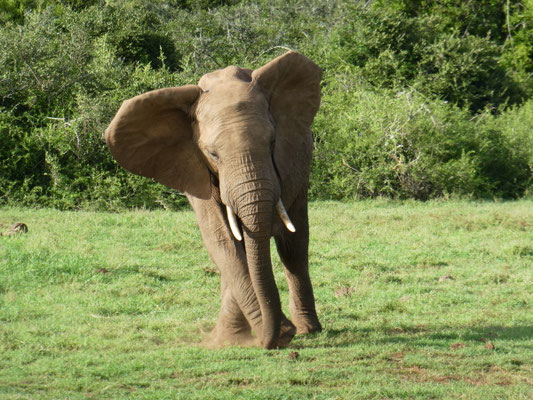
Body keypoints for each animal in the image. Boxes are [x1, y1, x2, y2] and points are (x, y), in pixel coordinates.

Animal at [104, 50, 320, 350]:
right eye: (213, 154)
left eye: (272, 143)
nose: (278, 337)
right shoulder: (192, 167)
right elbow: (222, 240)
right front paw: (231, 339)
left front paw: (254, 335)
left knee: (294, 245)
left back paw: (309, 329)